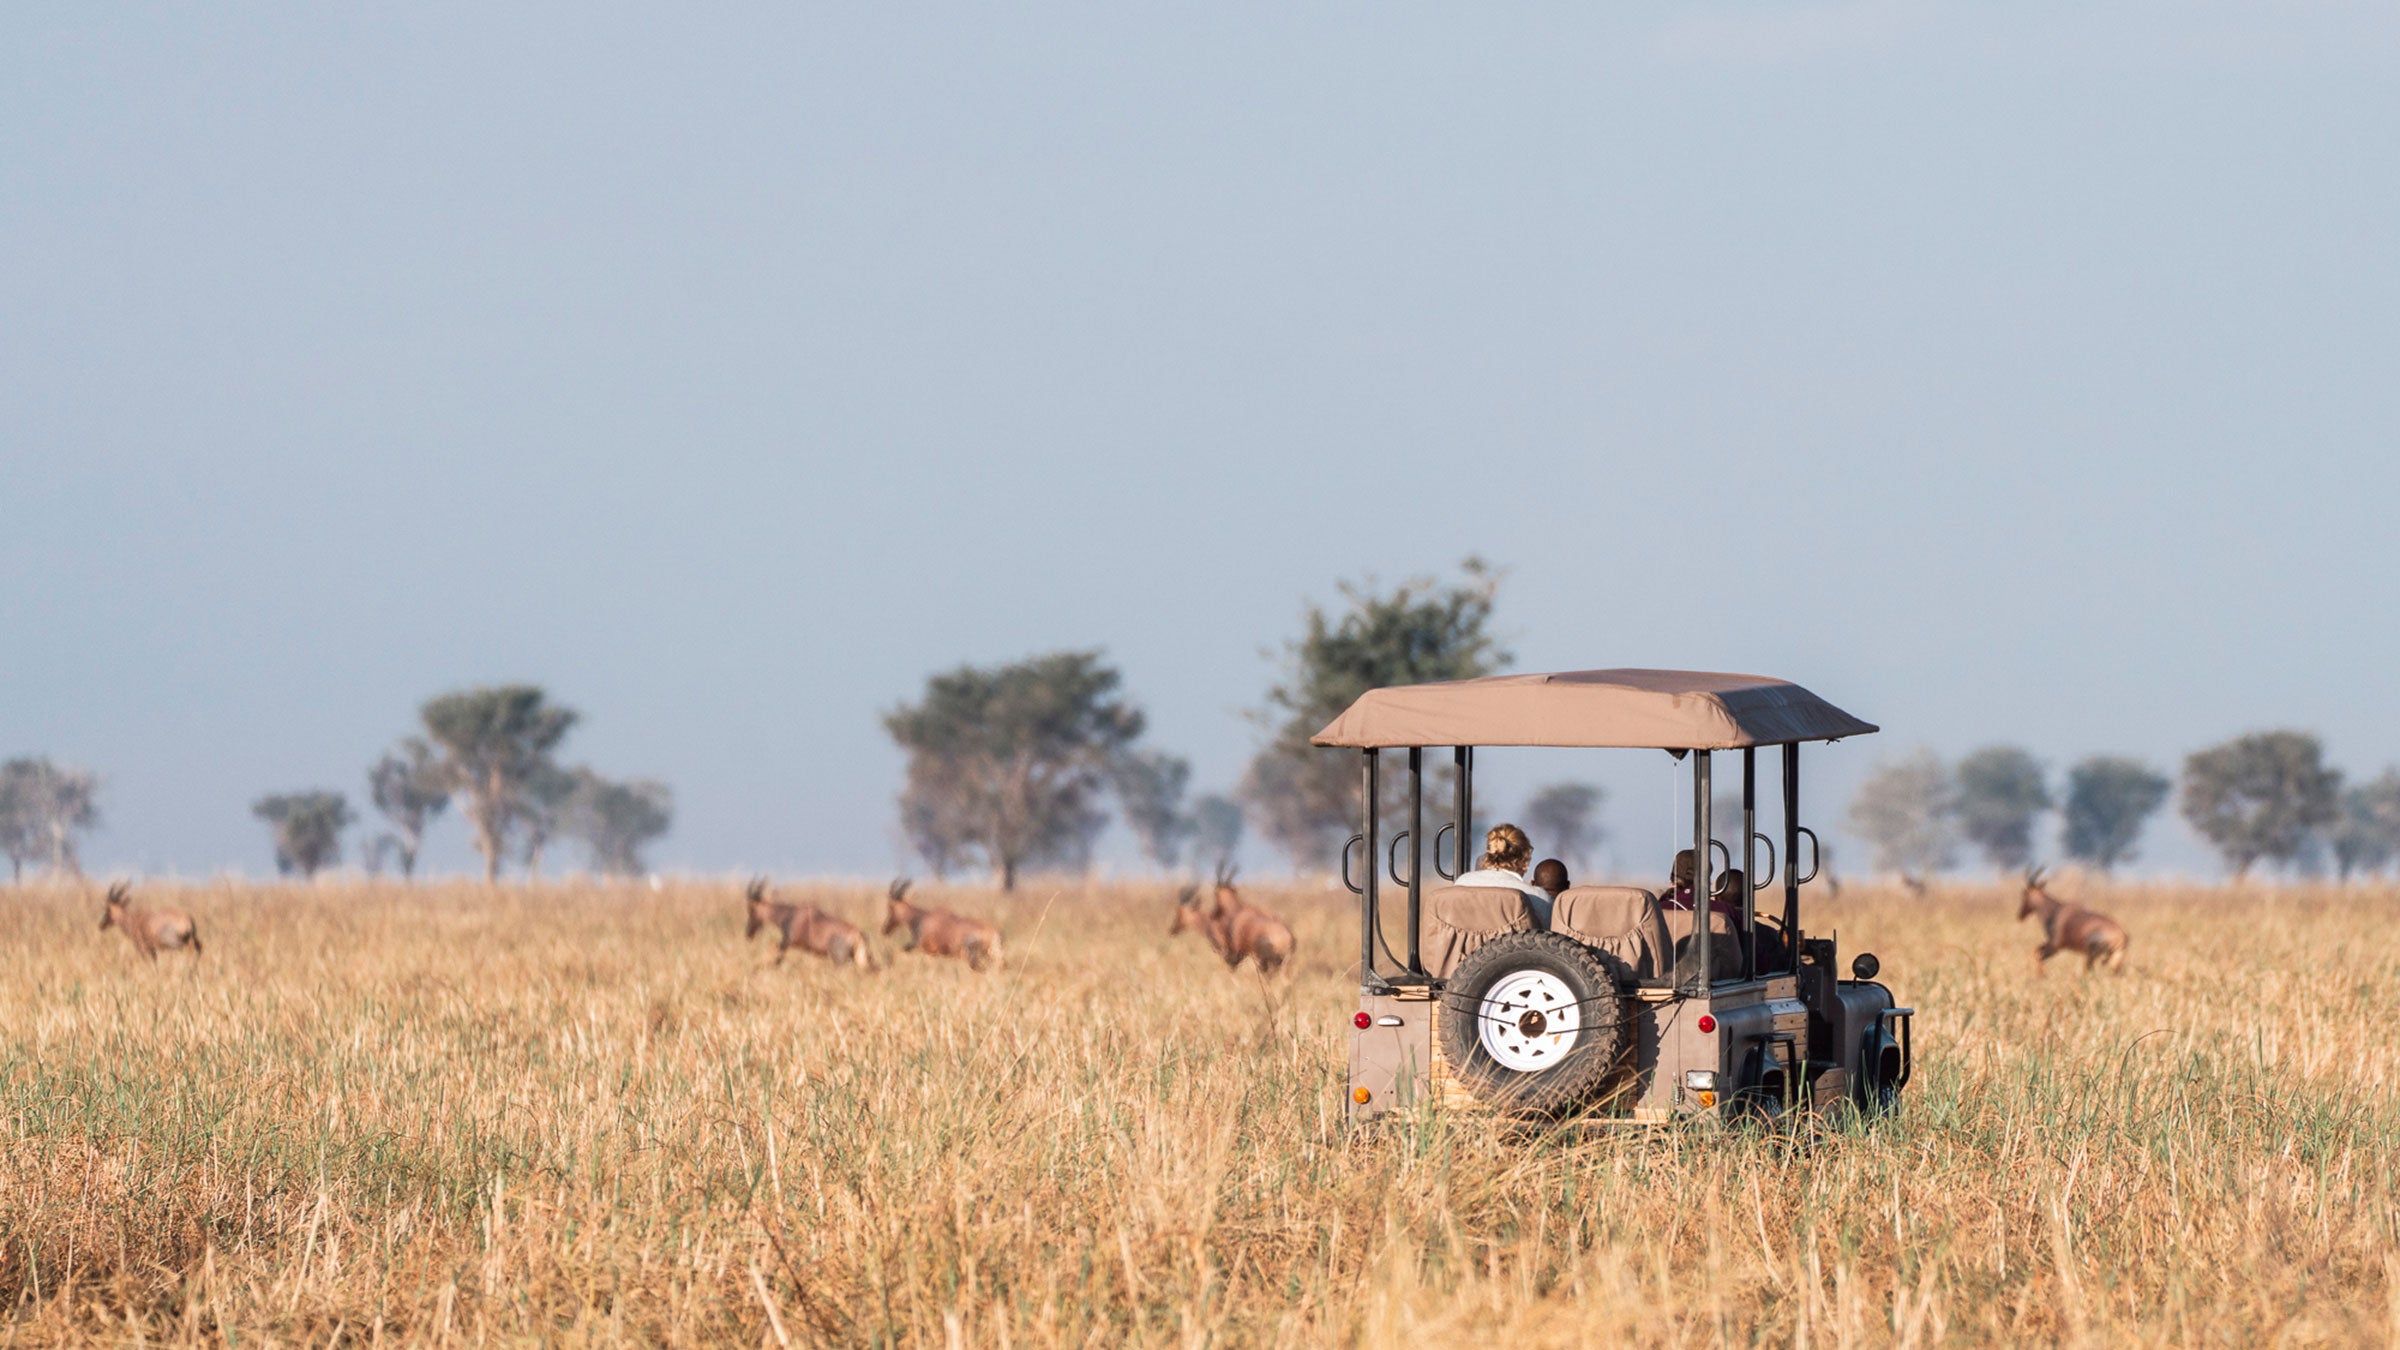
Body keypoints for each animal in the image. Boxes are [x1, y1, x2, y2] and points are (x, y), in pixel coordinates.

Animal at [744, 874, 878, 965]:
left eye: (751, 910)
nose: (749, 933)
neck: (791, 913)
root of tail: (858, 933)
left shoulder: (787, 943)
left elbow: (777, 959)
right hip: (859, 959)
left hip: (839, 959)